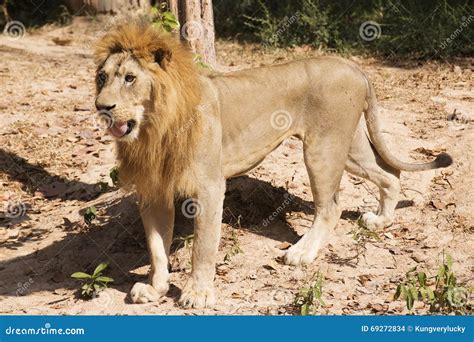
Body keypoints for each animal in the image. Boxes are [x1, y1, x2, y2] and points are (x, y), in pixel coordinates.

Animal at [92, 22, 452, 308]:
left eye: (130, 78)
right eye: (101, 77)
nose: (101, 107)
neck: (153, 128)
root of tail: (353, 66)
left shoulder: (209, 186)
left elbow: (203, 247)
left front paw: (198, 293)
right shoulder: (154, 191)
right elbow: (156, 247)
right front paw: (155, 289)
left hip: (322, 149)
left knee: (332, 206)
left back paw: (302, 253)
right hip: (349, 148)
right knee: (390, 175)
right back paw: (381, 221)